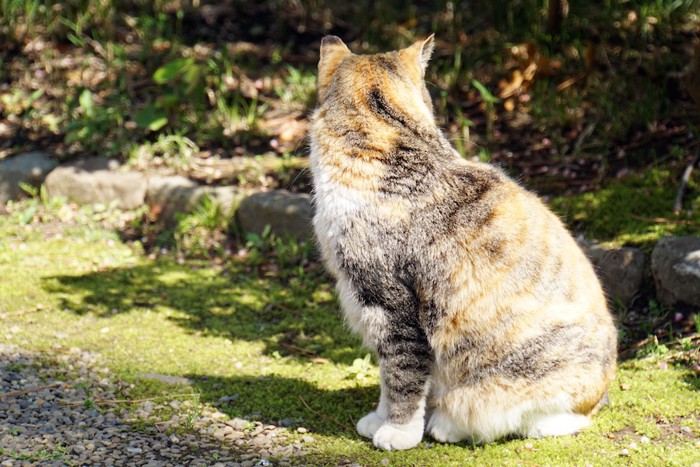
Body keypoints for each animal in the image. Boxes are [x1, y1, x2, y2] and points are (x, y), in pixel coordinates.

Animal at [308, 36, 616, 454]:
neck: (394, 149)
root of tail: (600, 393)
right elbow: (389, 377)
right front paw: (378, 419)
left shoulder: (393, 306)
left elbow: (402, 375)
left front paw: (398, 432)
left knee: (546, 417)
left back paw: (448, 425)